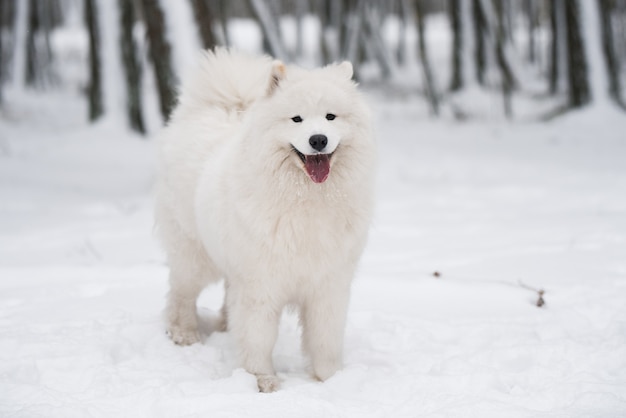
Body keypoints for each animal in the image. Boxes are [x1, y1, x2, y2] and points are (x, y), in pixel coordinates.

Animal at [154, 49, 372, 392]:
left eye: (330, 117)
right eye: (296, 119)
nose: (318, 140)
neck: (306, 199)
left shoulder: (328, 284)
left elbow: (325, 339)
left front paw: (331, 379)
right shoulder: (261, 284)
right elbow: (258, 337)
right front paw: (262, 380)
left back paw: (224, 325)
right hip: (194, 256)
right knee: (181, 294)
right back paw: (184, 334)